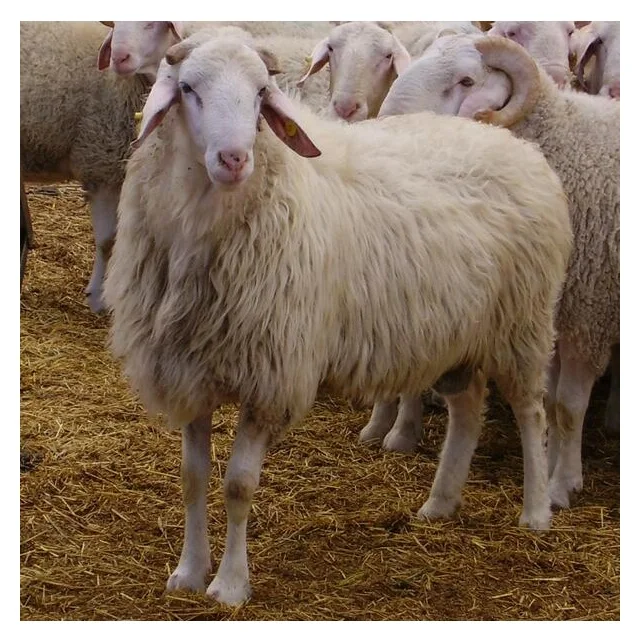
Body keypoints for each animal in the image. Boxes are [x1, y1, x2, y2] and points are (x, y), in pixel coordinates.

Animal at [103, 32, 573, 605]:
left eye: (261, 93)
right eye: (188, 88)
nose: (235, 159)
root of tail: (514, 145)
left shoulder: (272, 376)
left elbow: (238, 485)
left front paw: (231, 585)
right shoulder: (190, 370)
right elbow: (192, 478)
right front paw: (189, 572)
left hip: (524, 321)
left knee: (531, 413)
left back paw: (536, 512)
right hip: (456, 334)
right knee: (467, 410)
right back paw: (439, 504)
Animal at [378, 33, 619, 508]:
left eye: (466, 80)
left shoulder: (589, 313)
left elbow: (568, 406)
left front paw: (562, 485)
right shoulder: (550, 311)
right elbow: (549, 400)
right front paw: (550, 464)